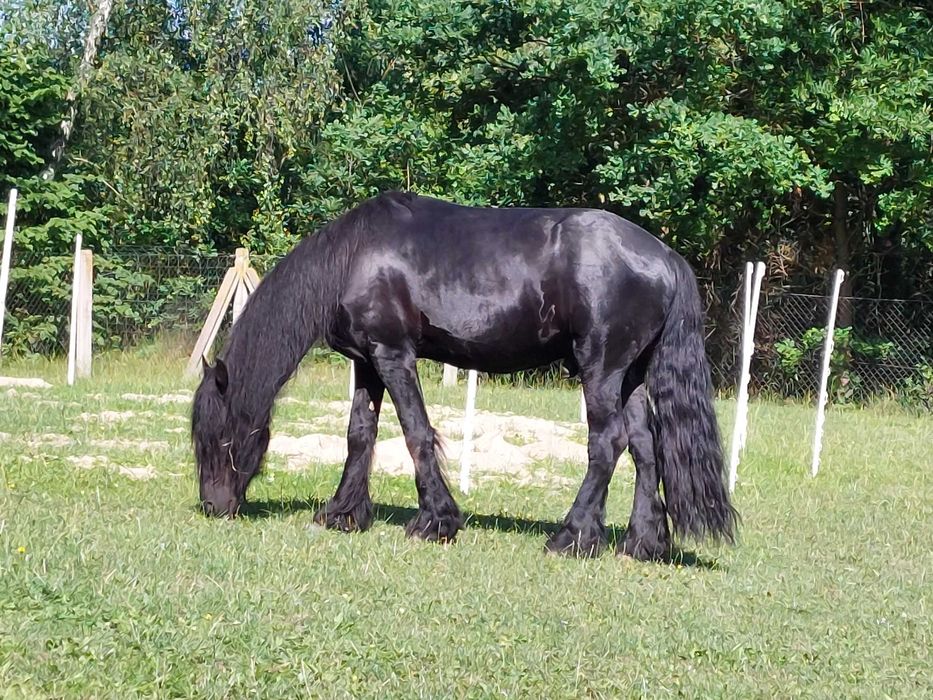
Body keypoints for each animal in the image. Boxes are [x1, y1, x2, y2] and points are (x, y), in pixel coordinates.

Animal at [193, 190, 736, 556]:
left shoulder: (393, 355)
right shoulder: (367, 363)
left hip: (601, 369)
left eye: (219, 436)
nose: (213, 507)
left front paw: (436, 521)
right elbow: (359, 434)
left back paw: (571, 536)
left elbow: (415, 432)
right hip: (631, 376)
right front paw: (342, 513)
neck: (354, 257)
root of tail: (665, 256)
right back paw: (642, 543)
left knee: (608, 443)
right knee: (645, 447)